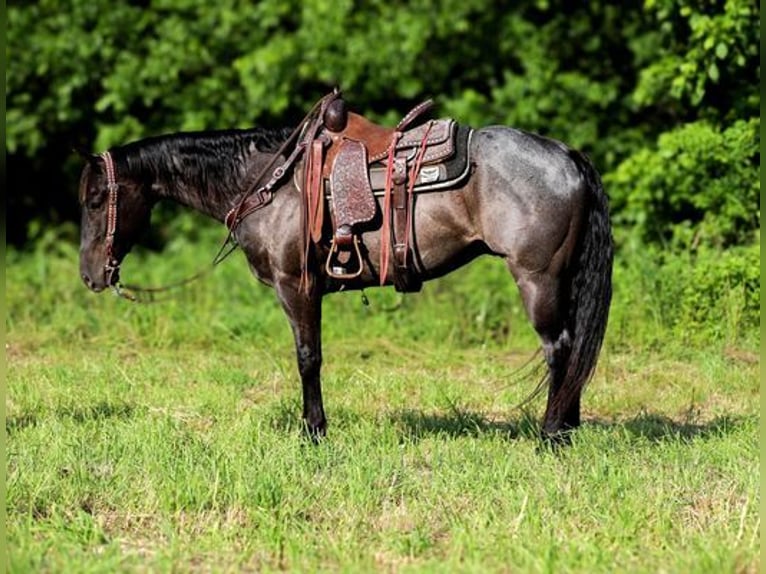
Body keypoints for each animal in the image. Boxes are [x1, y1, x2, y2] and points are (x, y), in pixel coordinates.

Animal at [78, 98, 616, 446]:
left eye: (97, 198)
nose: (90, 276)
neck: (269, 184)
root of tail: (567, 155)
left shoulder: (295, 286)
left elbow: (307, 357)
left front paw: (313, 432)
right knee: (571, 351)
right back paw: (567, 428)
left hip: (537, 278)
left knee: (558, 348)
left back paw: (550, 435)